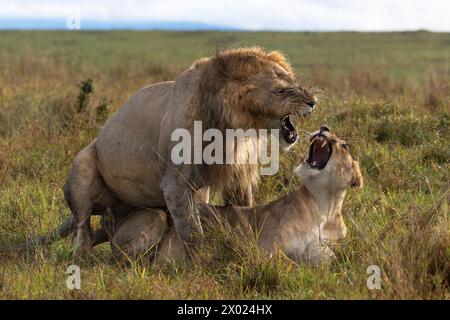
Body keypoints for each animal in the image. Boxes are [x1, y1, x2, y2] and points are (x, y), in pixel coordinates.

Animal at [63, 47, 316, 254]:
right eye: (280, 91)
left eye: (294, 81)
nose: (313, 101)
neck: (231, 129)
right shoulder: (175, 183)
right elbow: (192, 232)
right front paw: (202, 264)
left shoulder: (238, 176)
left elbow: (243, 212)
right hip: (83, 166)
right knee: (82, 227)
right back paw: (82, 257)